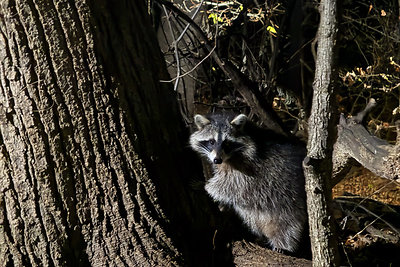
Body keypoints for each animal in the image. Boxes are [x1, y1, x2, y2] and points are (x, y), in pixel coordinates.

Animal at [190, 112, 306, 253]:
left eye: (227, 143)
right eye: (211, 141)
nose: (217, 160)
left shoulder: (251, 169)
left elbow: (231, 186)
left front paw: (205, 186)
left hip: (290, 200)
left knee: (287, 225)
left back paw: (283, 245)